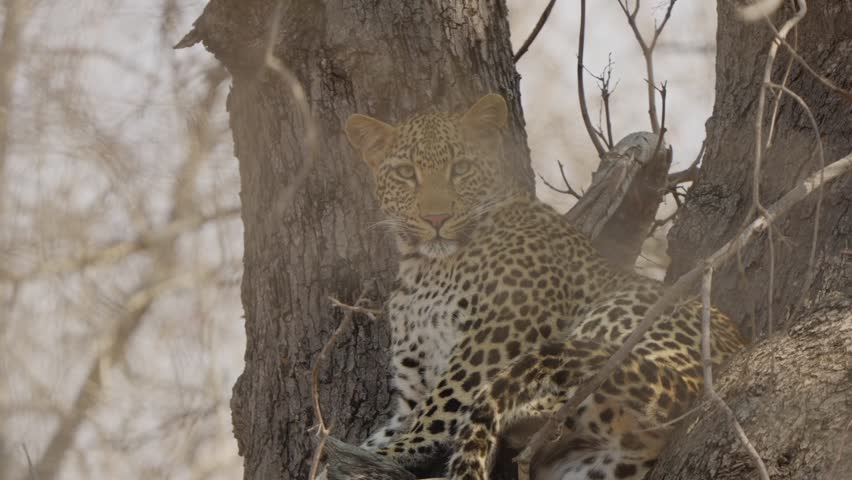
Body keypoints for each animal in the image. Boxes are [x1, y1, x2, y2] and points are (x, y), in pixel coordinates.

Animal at [338, 93, 745, 480]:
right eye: (406, 173)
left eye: (461, 169)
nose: (436, 218)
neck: (424, 266)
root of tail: (694, 385)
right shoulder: (412, 383)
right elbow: (399, 419)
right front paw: (362, 447)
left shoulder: (500, 328)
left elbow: (441, 404)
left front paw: (392, 451)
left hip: (618, 315)